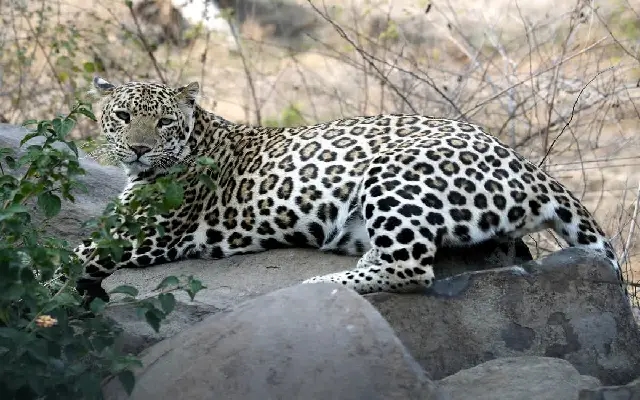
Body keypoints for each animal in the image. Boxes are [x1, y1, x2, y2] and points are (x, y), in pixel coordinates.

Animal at [74, 76, 626, 303]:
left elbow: (63, 260)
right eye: (122, 116)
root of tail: (526, 162)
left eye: (163, 122)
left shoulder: (131, 237)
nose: (139, 149)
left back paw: (315, 286)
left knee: (412, 269)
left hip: (395, 173)